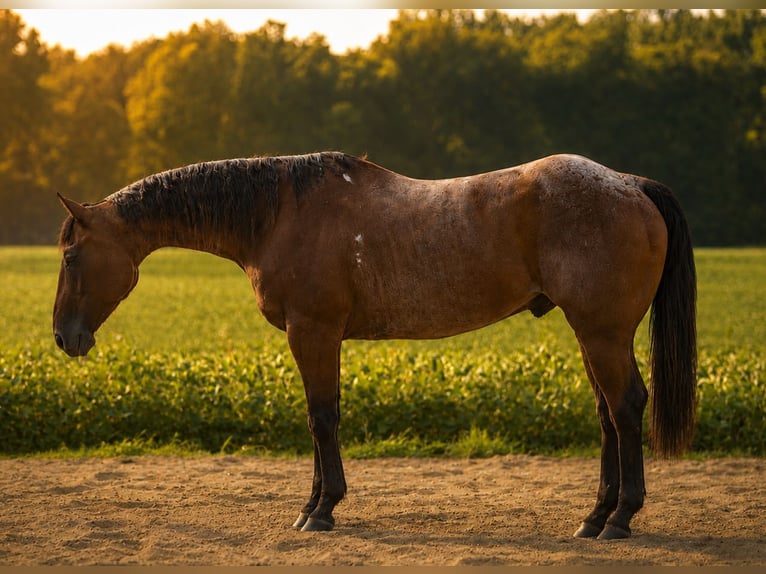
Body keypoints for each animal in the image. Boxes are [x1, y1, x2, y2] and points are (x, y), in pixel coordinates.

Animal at [53, 151, 696, 539]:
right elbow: (321, 418)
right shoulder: (317, 336)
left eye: (71, 255)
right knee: (608, 416)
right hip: (591, 335)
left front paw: (321, 510)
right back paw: (594, 517)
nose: (64, 336)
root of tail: (630, 184)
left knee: (625, 408)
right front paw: (313, 505)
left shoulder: (313, 332)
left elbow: (321, 419)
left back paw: (621, 518)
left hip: (603, 334)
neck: (278, 213)